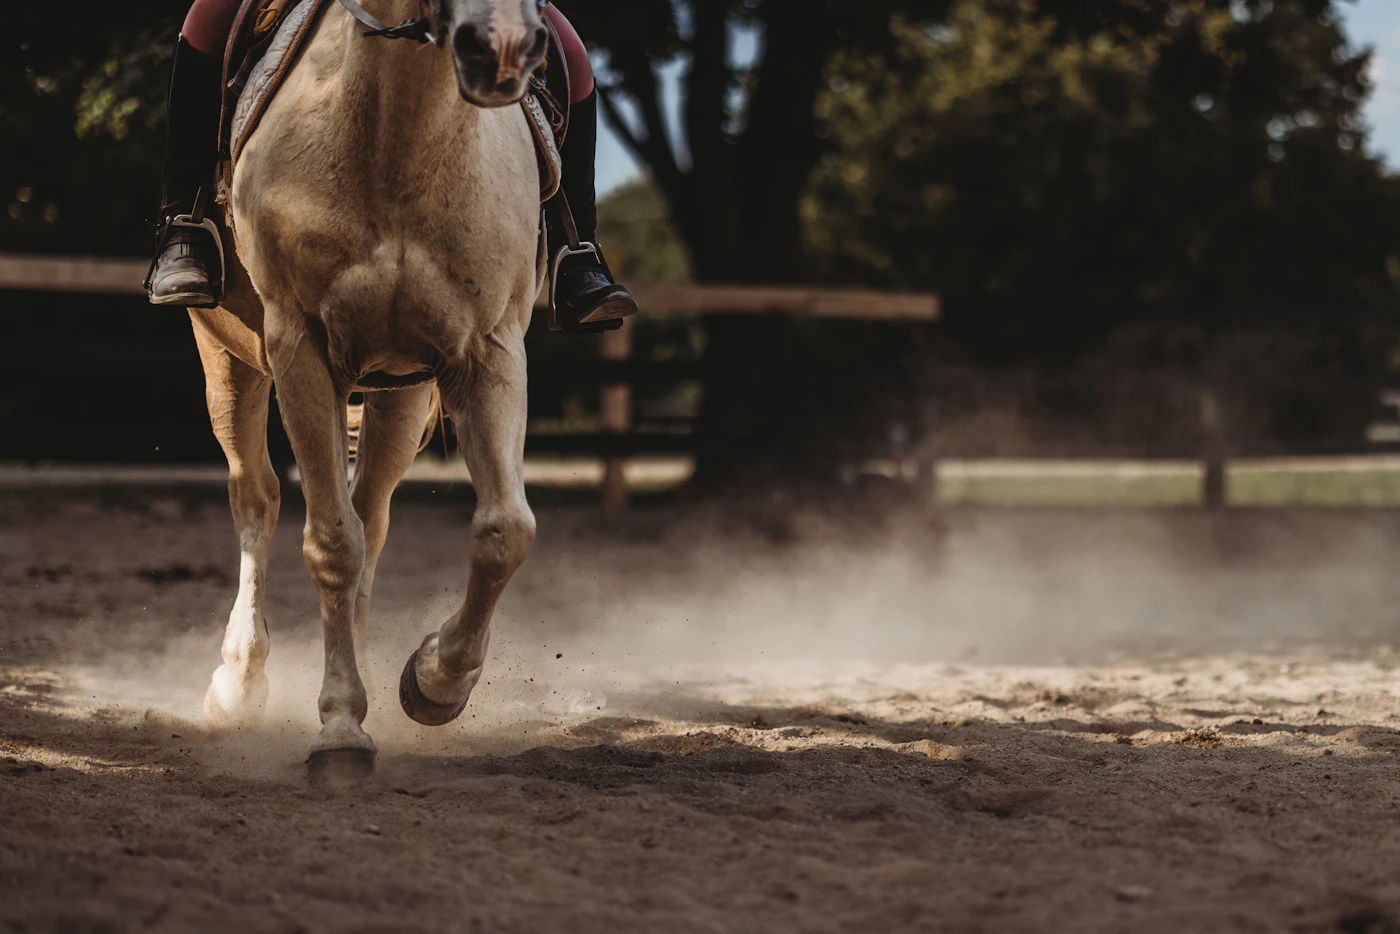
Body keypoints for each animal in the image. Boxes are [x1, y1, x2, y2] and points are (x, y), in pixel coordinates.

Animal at [188, 0, 549, 785]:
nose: (503, 48)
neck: (400, 133)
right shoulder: (298, 348)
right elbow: (330, 542)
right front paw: (339, 731)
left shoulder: (489, 350)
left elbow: (504, 532)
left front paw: (435, 681)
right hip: (227, 357)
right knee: (257, 497)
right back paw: (237, 683)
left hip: (399, 394)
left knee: (372, 515)